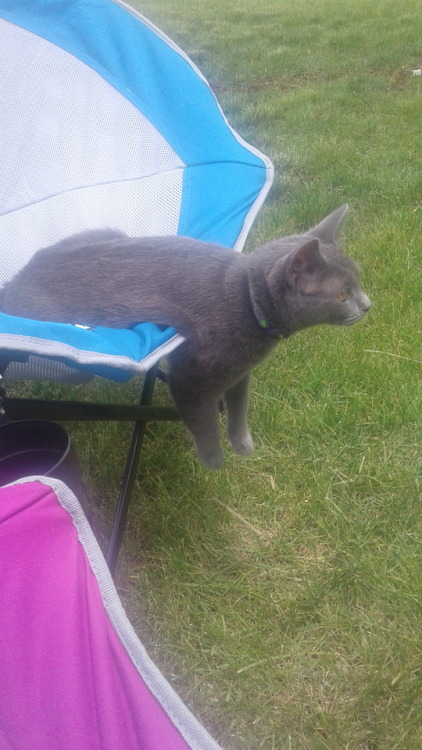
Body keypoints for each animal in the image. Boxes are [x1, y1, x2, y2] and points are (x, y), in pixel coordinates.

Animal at [0, 206, 370, 470]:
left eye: (358, 281)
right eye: (342, 295)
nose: (368, 305)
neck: (247, 300)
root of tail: (13, 284)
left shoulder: (241, 372)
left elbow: (239, 406)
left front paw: (242, 444)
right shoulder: (190, 376)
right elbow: (203, 420)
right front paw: (214, 460)